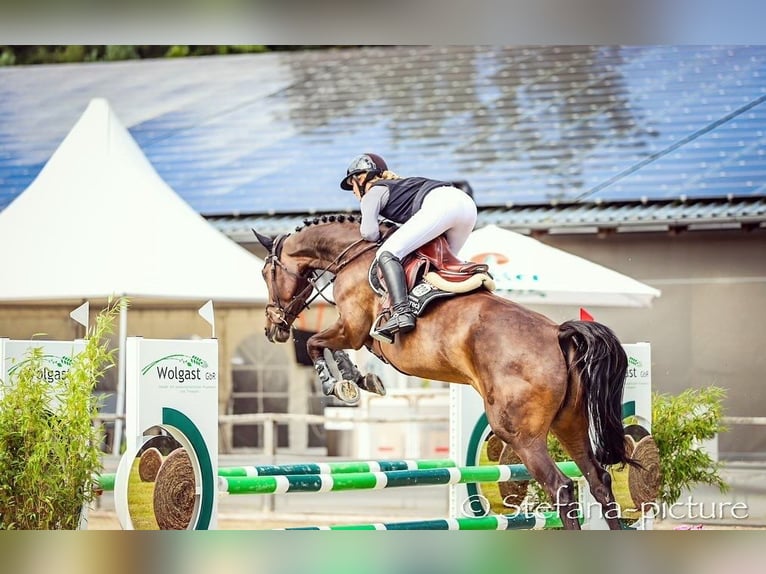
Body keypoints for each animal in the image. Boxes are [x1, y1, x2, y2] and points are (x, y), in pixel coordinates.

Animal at [256, 215, 636, 532]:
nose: (273, 328)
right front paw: (361, 379)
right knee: (599, 481)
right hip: (570, 423)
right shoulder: (356, 334)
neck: (354, 258)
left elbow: (315, 344)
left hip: (520, 434)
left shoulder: (352, 328)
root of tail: (557, 333)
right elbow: (331, 348)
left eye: (266, 274)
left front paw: (340, 384)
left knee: (561, 487)